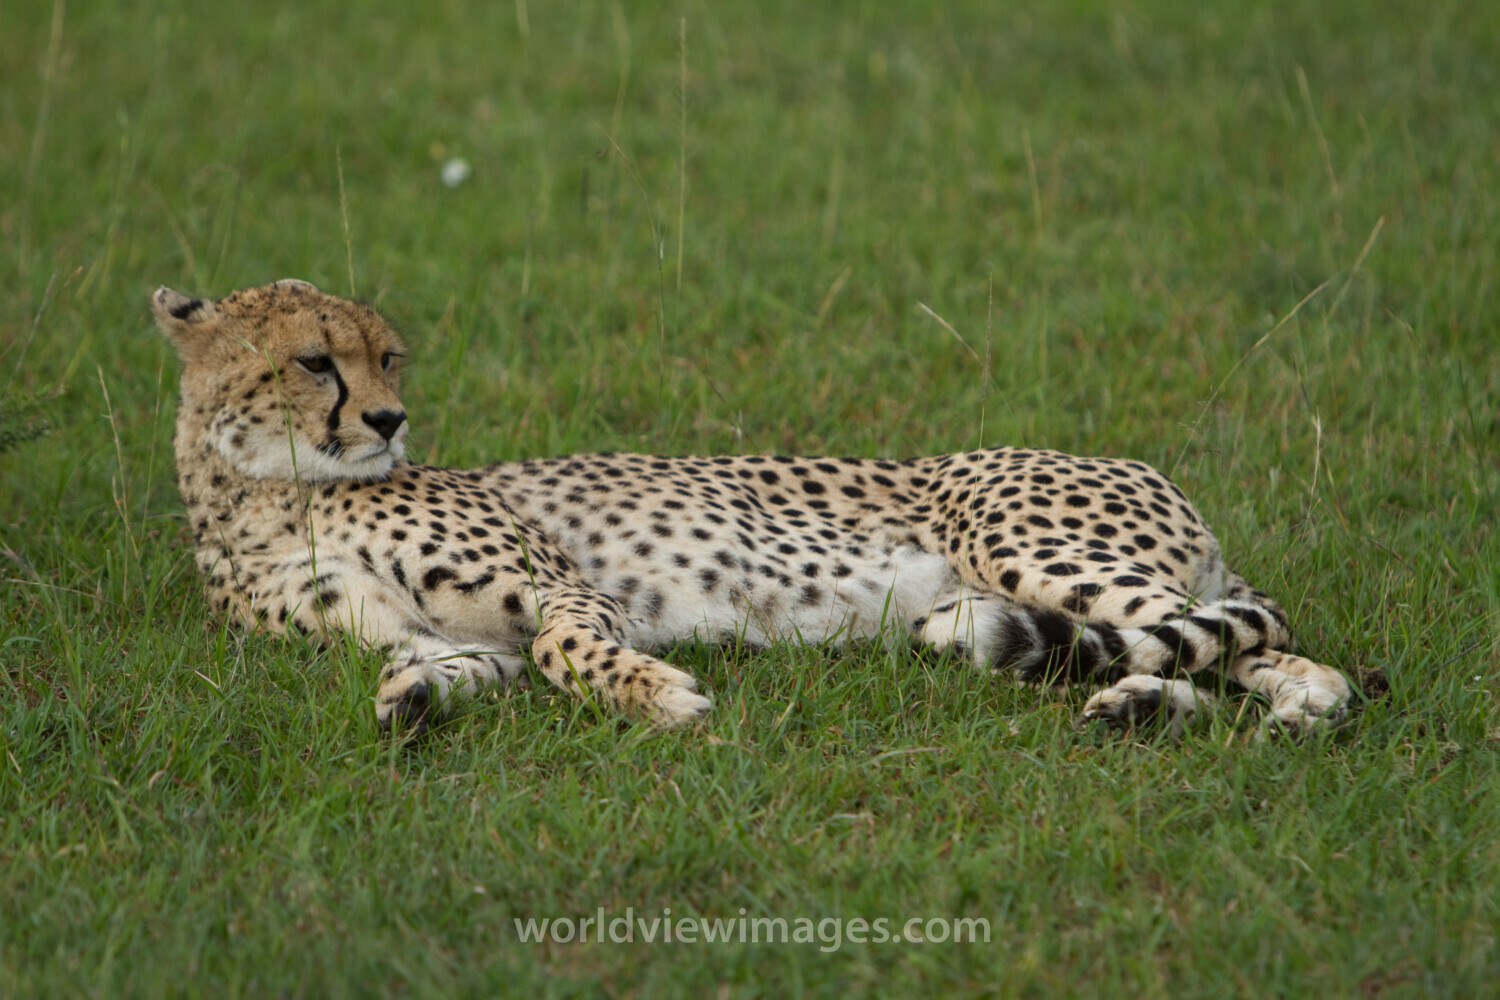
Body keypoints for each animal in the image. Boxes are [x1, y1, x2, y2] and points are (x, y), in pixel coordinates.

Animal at [151, 279, 1352, 739]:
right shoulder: (441, 635)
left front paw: (659, 696)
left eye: (387, 357)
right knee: (1230, 656)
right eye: (316, 361)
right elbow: (444, 669)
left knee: (1273, 641)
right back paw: (1163, 707)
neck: (266, 496)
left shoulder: (558, 588)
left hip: (1019, 541)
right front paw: (411, 702)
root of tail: (1153, 475)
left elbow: (569, 652)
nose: (391, 419)